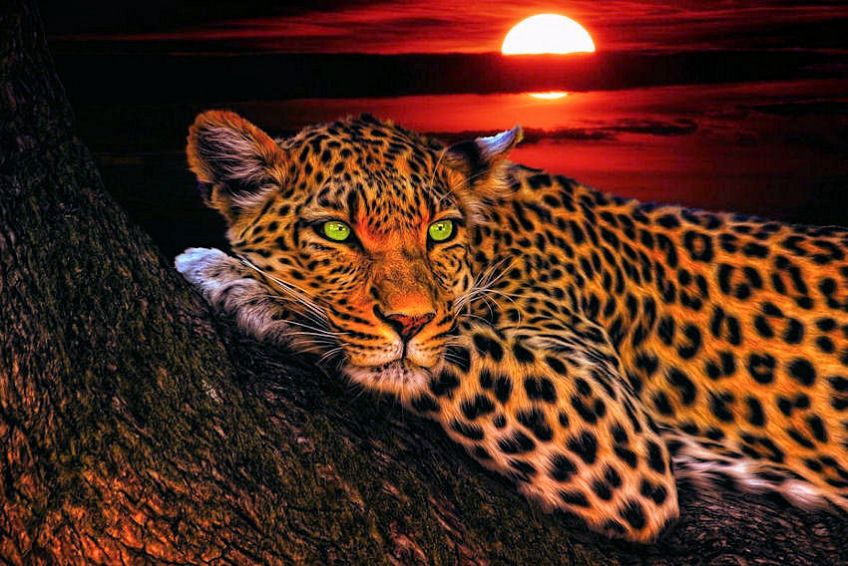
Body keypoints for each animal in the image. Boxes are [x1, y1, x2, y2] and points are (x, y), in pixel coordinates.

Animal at [175, 110, 848, 543]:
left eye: (440, 230)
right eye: (337, 231)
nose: (409, 320)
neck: (495, 239)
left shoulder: (612, 422)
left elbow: (455, 347)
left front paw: (236, 277)